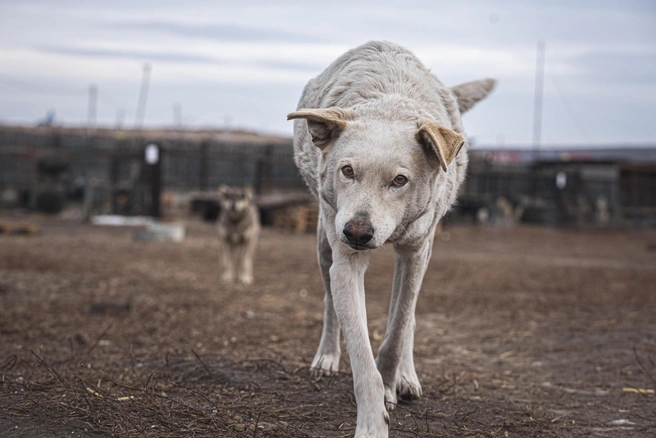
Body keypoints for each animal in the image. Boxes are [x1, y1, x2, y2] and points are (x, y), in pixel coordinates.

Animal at [288, 42, 492, 438]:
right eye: (347, 170)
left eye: (399, 180)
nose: (356, 232)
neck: (389, 103)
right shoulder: (346, 263)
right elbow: (360, 351)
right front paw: (372, 422)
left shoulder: (415, 250)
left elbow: (398, 328)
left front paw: (390, 383)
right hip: (323, 242)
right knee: (329, 302)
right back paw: (327, 356)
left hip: (422, 250)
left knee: (408, 315)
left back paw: (406, 378)